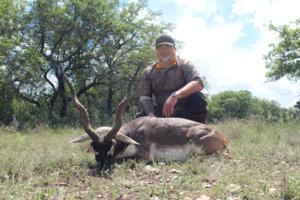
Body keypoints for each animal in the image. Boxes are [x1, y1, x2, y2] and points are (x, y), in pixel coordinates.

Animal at [62, 65, 229, 170]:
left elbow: (123, 159)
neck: (132, 132)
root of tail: (222, 138)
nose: (102, 167)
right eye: (93, 145)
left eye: (112, 144)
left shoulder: (143, 156)